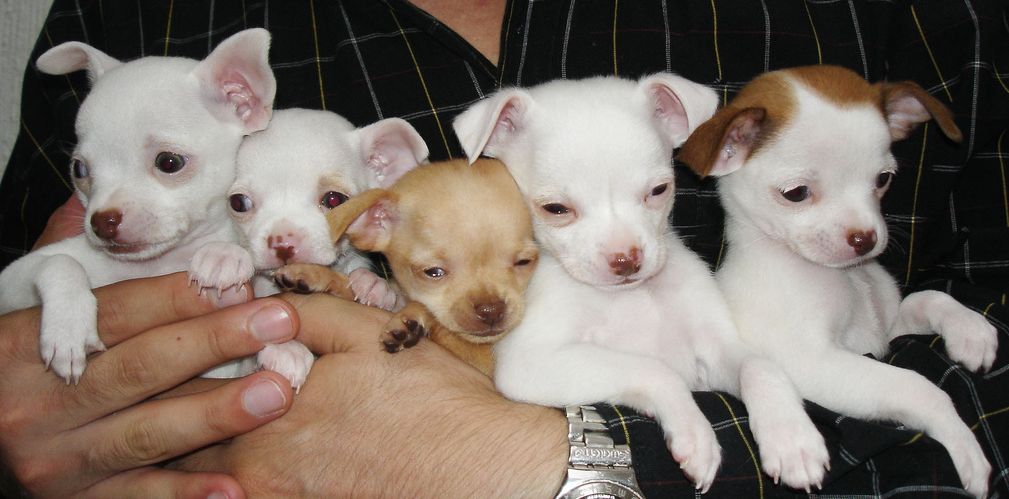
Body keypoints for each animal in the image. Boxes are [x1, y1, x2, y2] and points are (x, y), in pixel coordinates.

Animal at [0, 29, 274, 385]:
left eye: (169, 162)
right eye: (79, 169)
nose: (102, 221)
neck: (156, 264)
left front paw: (224, 255)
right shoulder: (10, 282)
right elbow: (60, 261)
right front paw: (67, 329)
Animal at [278, 158, 536, 377]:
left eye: (524, 262)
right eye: (433, 272)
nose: (491, 310)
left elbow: (430, 315)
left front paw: (410, 318)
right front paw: (318, 275)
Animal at [456, 74, 827, 491]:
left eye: (659, 191)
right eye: (555, 209)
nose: (625, 259)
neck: (630, 297)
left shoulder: (716, 347)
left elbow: (759, 366)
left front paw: (792, 437)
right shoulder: (532, 364)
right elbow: (655, 370)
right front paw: (695, 432)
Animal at [682, 64, 996, 497]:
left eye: (883, 179)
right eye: (796, 193)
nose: (865, 239)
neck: (849, 282)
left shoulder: (884, 333)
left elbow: (927, 298)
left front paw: (971, 331)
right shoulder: (812, 360)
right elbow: (918, 387)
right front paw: (965, 446)